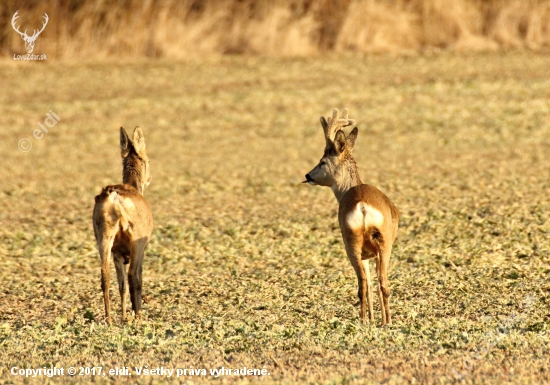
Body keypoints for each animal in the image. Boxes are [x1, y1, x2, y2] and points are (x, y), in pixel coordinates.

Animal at [92, 127, 153, 324]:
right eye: (148, 159)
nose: (149, 178)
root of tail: (114, 199)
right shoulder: (141, 246)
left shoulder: (118, 252)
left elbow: (121, 286)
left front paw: (124, 316)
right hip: (136, 241)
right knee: (133, 275)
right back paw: (138, 316)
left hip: (103, 235)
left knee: (105, 275)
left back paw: (109, 319)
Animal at [304, 109, 398, 324]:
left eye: (322, 161)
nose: (308, 175)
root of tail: (362, 205)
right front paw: (374, 318)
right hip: (378, 242)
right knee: (377, 283)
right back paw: (381, 321)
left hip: (355, 242)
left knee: (369, 283)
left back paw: (371, 321)